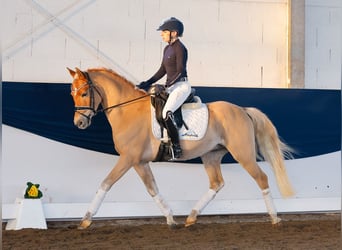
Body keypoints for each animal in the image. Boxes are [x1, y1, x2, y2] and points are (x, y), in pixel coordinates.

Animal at [67, 66, 294, 229]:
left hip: (243, 154)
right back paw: (191, 217)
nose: (79, 123)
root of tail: (242, 110)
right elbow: (153, 189)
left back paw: (275, 218)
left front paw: (86, 219)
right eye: (72, 94)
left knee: (261, 178)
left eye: (84, 93)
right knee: (216, 183)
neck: (128, 110)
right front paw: (170, 218)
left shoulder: (128, 158)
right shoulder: (140, 162)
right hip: (211, 155)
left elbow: (105, 184)